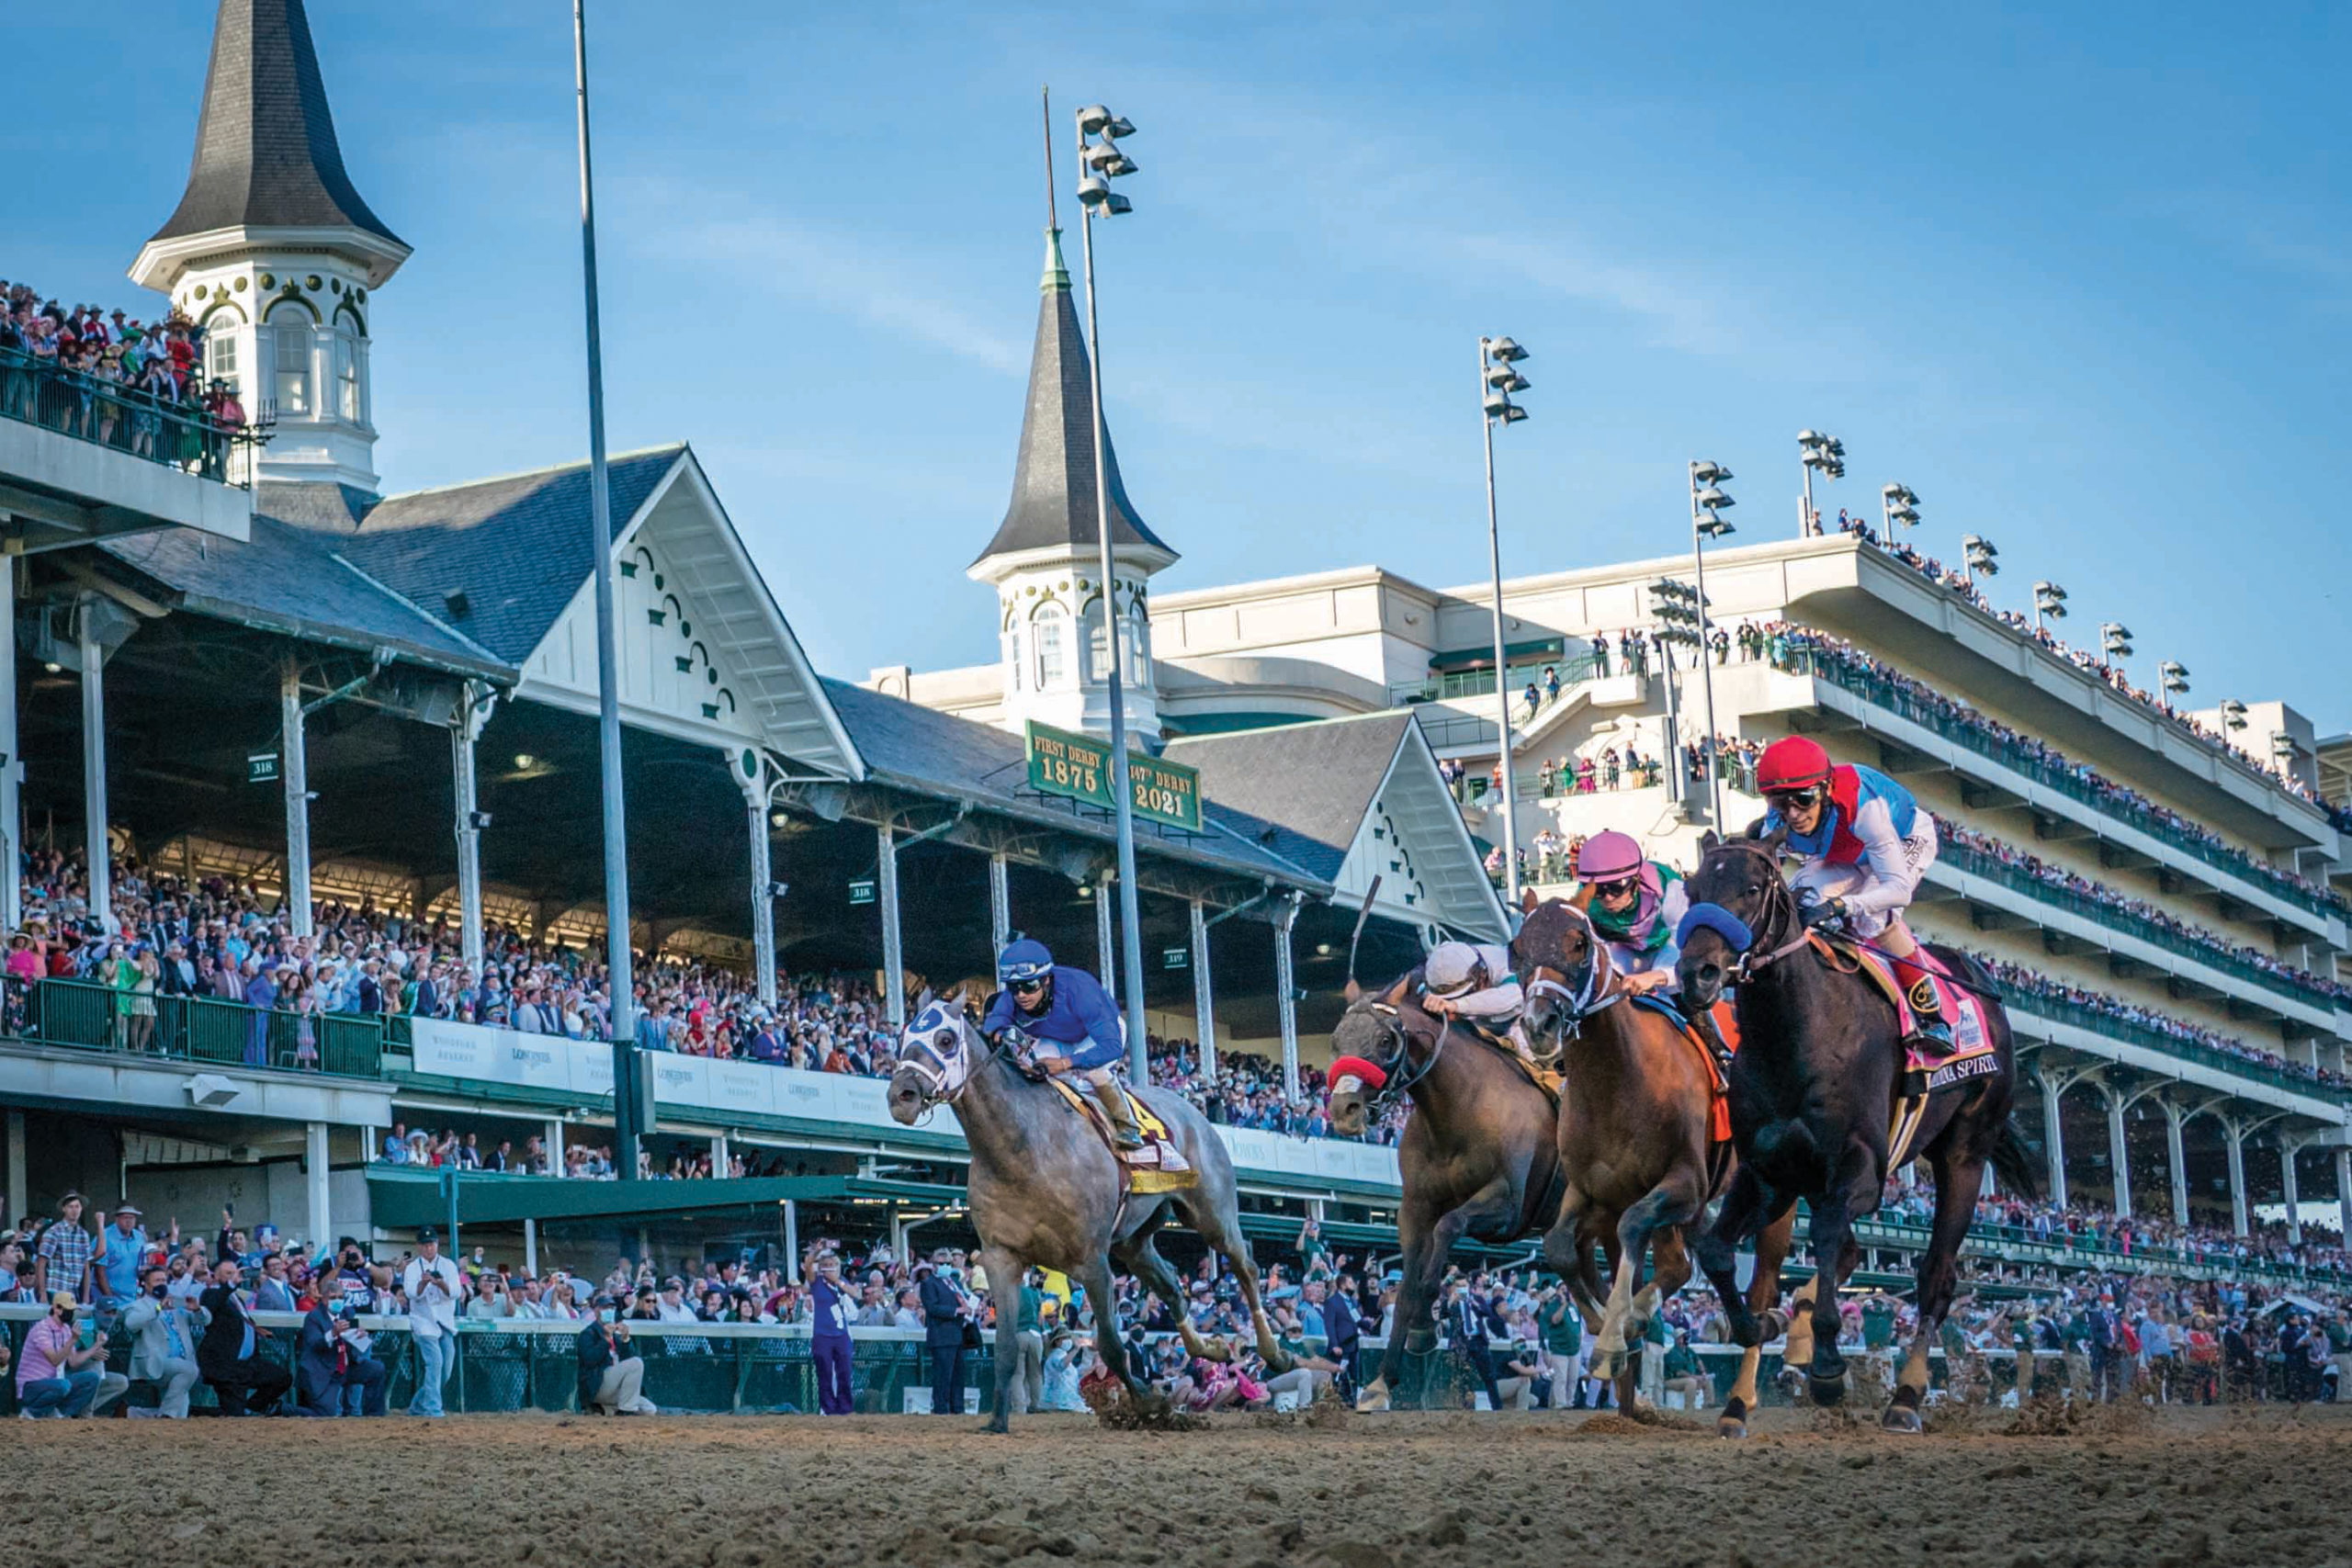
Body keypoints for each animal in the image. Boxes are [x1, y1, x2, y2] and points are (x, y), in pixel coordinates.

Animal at [884, 991, 1298, 1438]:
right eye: (903, 1037)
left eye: (944, 1039)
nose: (901, 1096)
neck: (1022, 1149)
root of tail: (1193, 1110)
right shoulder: (1001, 1258)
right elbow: (1008, 1346)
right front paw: (996, 1422)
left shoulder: (1092, 1260)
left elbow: (1112, 1346)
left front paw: (1149, 1402)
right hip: (1134, 1240)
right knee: (1172, 1284)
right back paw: (1211, 1346)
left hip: (1212, 1214)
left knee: (1245, 1268)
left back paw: (1275, 1352)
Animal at [1326, 973, 1561, 1419]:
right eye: (1335, 1039)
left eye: (1385, 1040)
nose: (1344, 1109)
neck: (1458, 1109)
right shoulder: (1415, 1207)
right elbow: (1406, 1287)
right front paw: (1381, 1382)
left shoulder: (1508, 1205)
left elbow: (1448, 1230)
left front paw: (1424, 1326)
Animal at [1514, 893, 1787, 1438]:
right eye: (1517, 948)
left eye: (1579, 943)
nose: (1538, 1026)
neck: (1619, 1078)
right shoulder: (1588, 1189)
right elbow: (1558, 1246)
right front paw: (1606, 1326)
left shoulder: (1684, 1183)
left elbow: (1640, 1234)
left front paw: (1613, 1339)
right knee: (1681, 1263)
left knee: (1757, 1286)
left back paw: (1739, 1399)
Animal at [1674, 831, 2041, 1438]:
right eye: (1693, 890)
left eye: (1751, 888)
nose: (1696, 974)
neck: (1800, 1033)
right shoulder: (1766, 1173)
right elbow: (1718, 1252)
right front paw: (1762, 1328)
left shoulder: (1860, 1171)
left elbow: (1825, 1240)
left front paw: (1826, 1366)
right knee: (1811, 1267)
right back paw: (1753, 1380)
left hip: (1966, 1150)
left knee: (1935, 1276)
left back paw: (1906, 1397)